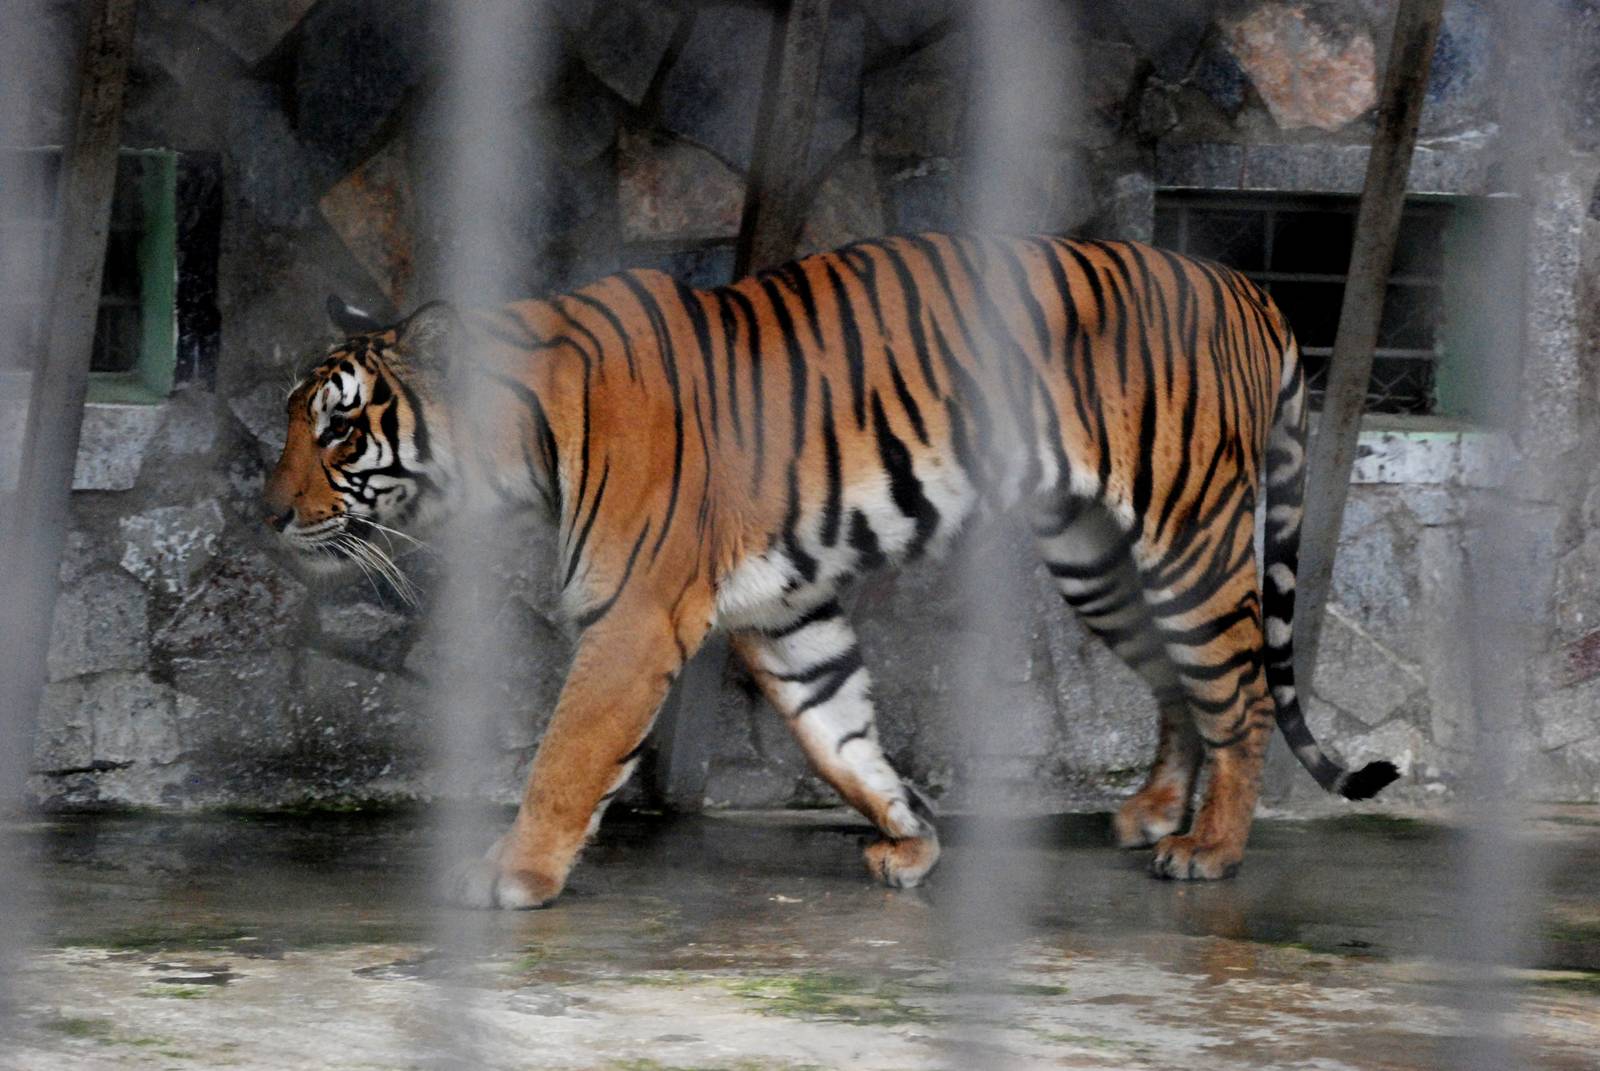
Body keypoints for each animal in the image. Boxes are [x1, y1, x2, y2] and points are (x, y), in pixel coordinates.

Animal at [263, 233, 1398, 909]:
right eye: (291, 420)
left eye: (338, 430)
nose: (269, 512)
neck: (526, 441)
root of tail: (1249, 288)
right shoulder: (786, 608)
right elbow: (839, 734)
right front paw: (911, 841)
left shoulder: (631, 616)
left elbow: (567, 755)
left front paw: (511, 874)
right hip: (1098, 561)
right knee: (1177, 686)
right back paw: (1156, 812)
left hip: (1189, 542)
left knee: (1239, 696)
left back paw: (1210, 849)